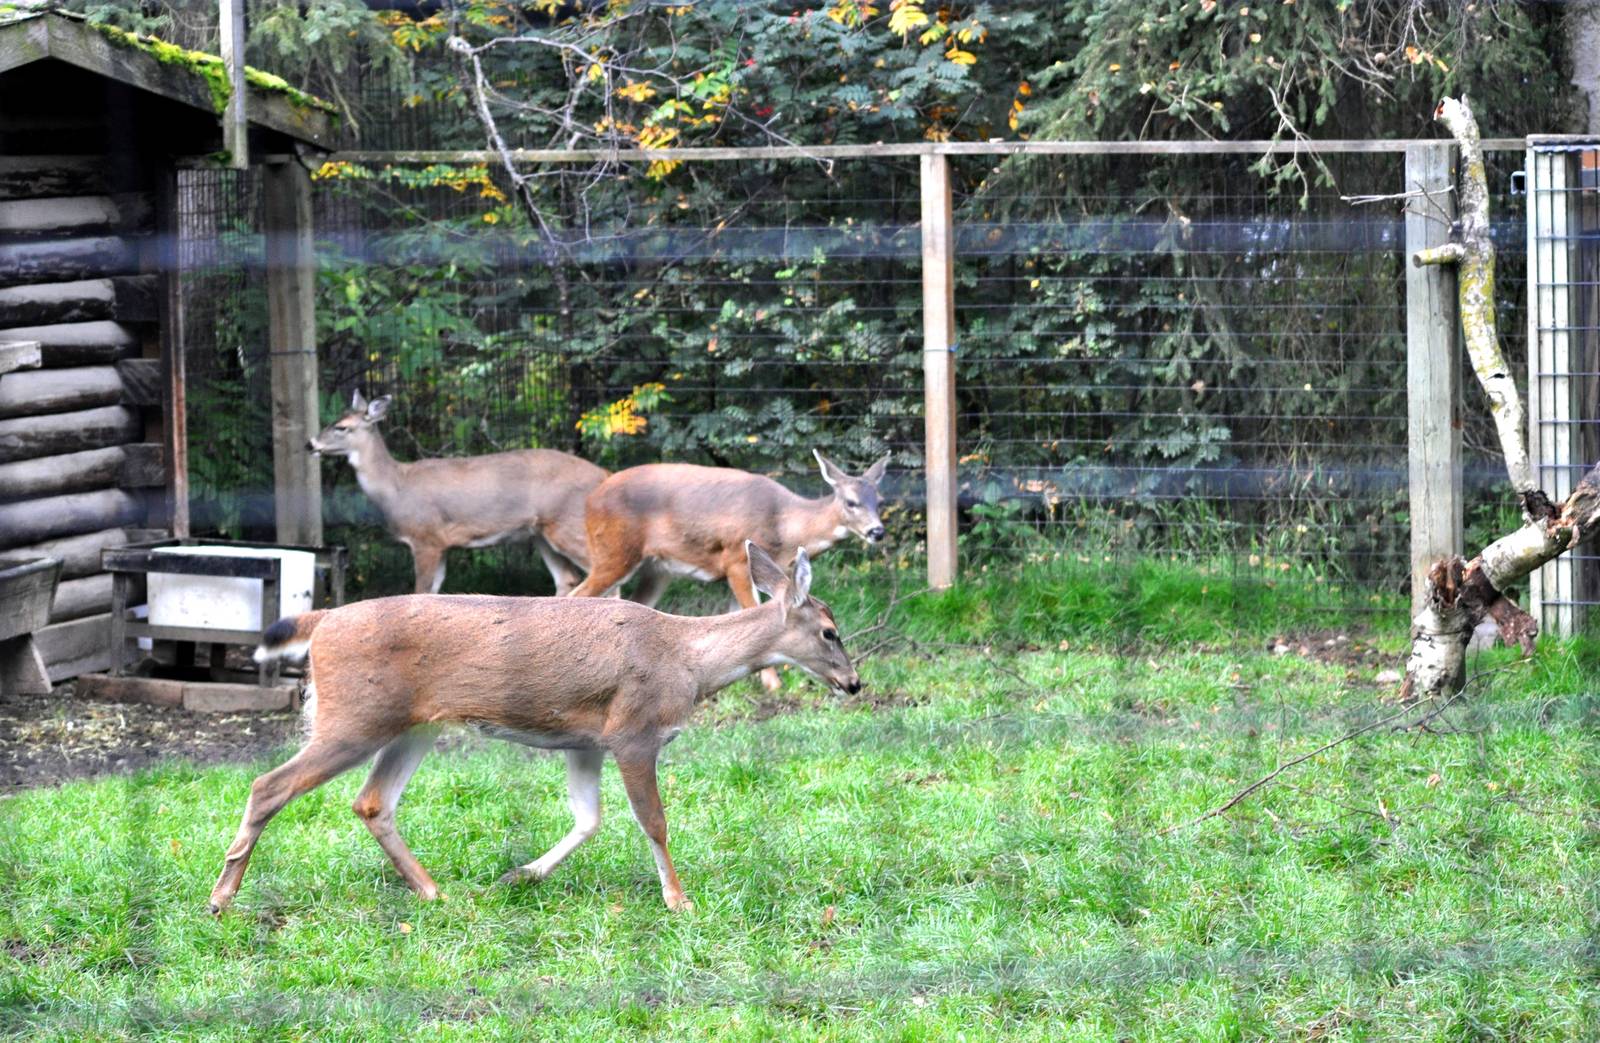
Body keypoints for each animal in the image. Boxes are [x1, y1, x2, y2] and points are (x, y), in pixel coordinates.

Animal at [208, 542, 857, 916]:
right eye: (830, 631)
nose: (853, 683)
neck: (688, 661)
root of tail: (321, 621)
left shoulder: (588, 740)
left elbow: (589, 819)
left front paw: (520, 875)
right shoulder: (633, 729)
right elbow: (653, 821)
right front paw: (679, 900)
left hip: (409, 726)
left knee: (371, 802)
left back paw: (435, 891)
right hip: (352, 716)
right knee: (268, 785)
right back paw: (220, 898)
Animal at [309, 391, 607, 595]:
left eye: (342, 427)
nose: (310, 443)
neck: (397, 485)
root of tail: (604, 475)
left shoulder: (425, 537)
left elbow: (419, 592)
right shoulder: (441, 544)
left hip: (569, 523)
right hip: (541, 533)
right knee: (568, 579)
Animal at [566, 450, 890, 692]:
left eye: (880, 501)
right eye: (851, 502)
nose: (877, 531)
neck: (785, 525)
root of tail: (590, 501)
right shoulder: (735, 559)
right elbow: (750, 607)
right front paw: (773, 684)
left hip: (656, 569)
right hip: (613, 553)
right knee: (576, 594)